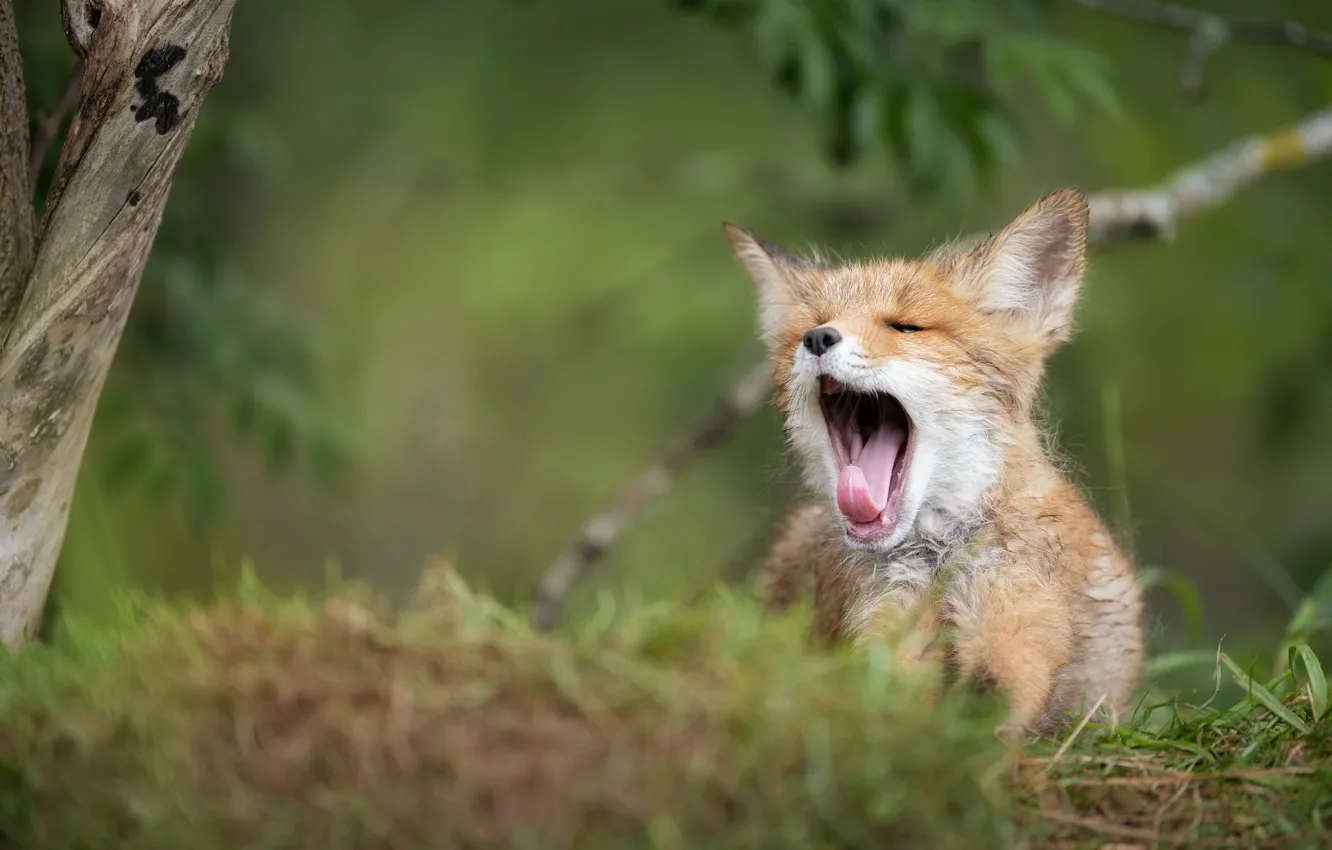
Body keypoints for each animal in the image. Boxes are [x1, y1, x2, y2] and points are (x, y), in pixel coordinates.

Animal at [723, 189, 1145, 735]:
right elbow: (887, 692)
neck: (938, 559)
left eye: (906, 327)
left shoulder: (1019, 611)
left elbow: (998, 688)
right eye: (808, 327)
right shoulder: (885, 620)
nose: (817, 339)